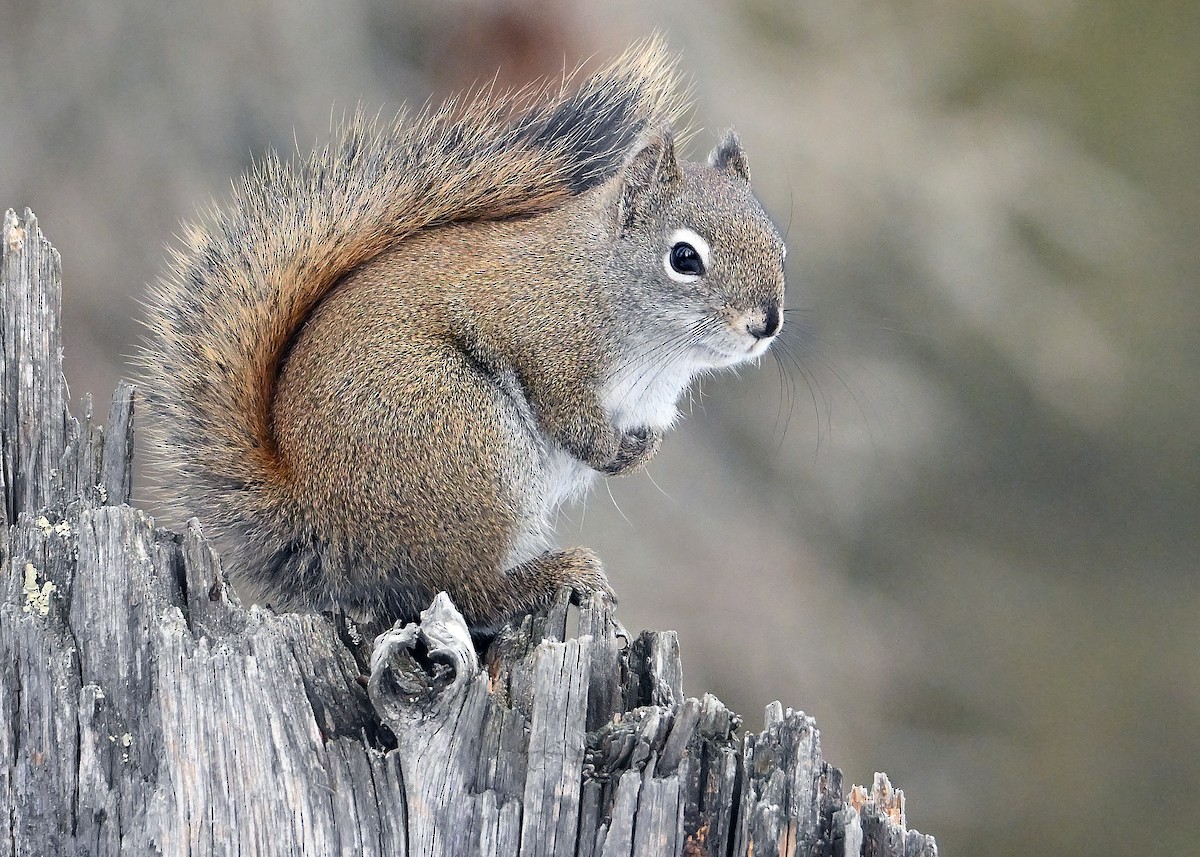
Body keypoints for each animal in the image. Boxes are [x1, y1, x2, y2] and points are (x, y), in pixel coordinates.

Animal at [139, 38, 786, 634]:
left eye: (779, 247)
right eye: (684, 258)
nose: (766, 323)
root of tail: (319, 520)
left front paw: (638, 453)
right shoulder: (537, 335)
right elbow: (566, 412)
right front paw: (607, 451)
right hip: (470, 444)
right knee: (465, 589)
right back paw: (553, 576)